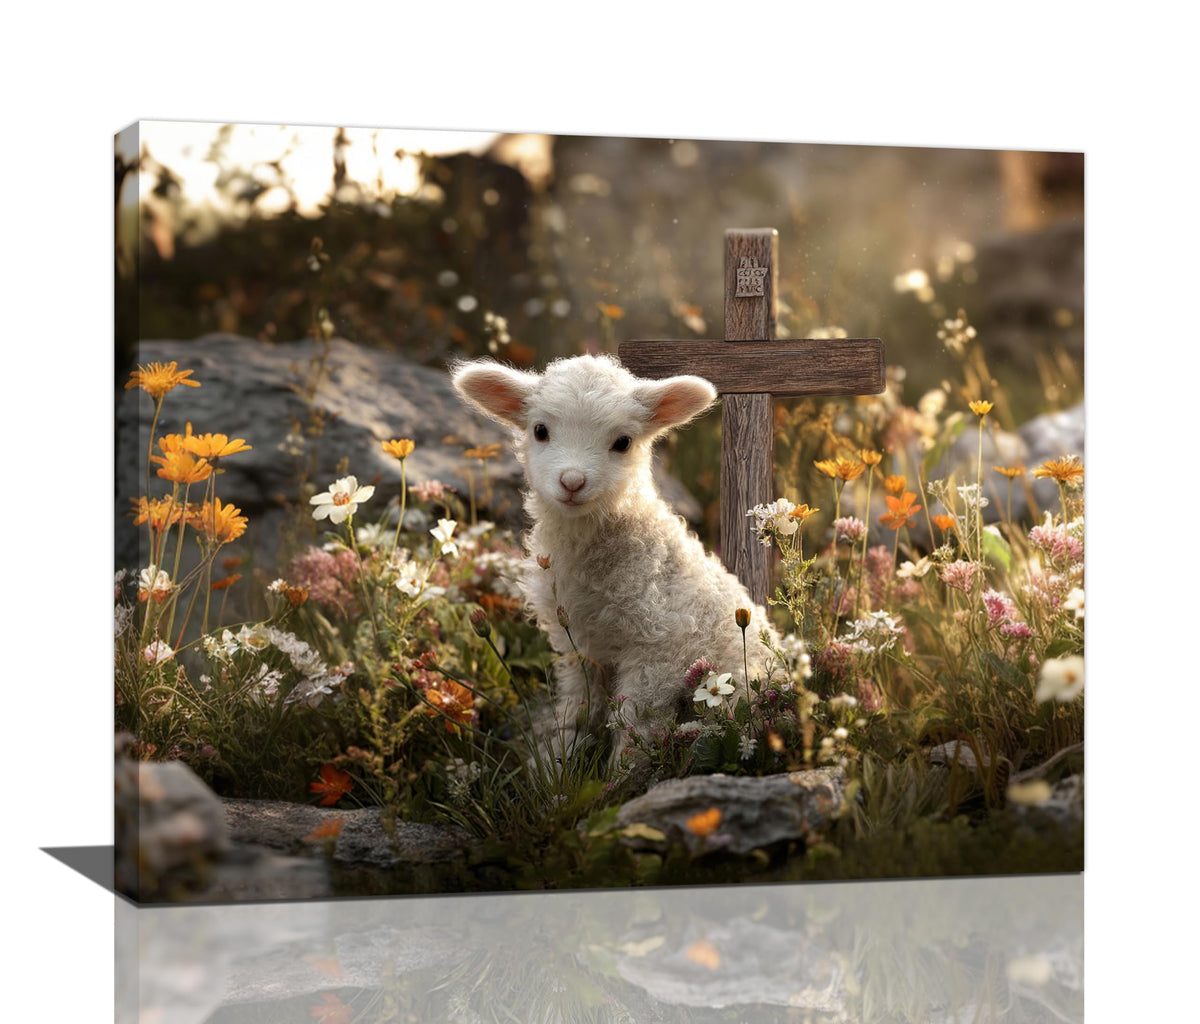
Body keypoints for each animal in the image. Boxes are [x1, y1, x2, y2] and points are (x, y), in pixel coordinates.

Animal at [451, 353, 781, 766]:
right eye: (540, 430)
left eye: (623, 442)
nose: (572, 482)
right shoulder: (577, 645)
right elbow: (579, 706)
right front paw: (558, 759)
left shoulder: (659, 649)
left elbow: (635, 723)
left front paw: (621, 773)